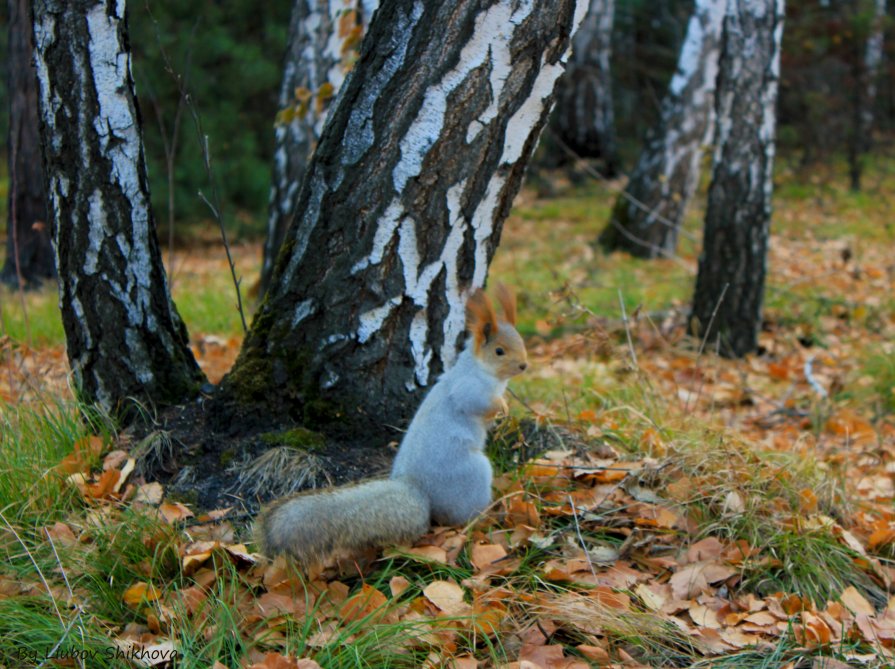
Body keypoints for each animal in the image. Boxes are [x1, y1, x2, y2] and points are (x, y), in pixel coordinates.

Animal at [256, 284, 528, 568]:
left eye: (521, 342)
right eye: (499, 351)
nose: (524, 365)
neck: (484, 371)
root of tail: (418, 490)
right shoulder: (467, 388)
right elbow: (476, 402)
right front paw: (502, 406)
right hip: (473, 475)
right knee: (462, 517)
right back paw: (487, 515)